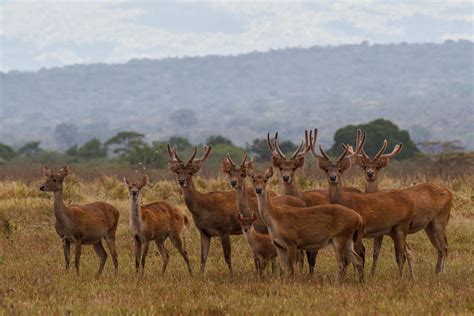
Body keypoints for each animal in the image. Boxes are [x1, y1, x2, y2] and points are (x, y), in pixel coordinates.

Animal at [167, 144, 241, 276]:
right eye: (178, 171)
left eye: (190, 172)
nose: (181, 180)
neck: (203, 208)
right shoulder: (204, 232)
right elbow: (203, 257)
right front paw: (200, 275)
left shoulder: (225, 228)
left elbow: (227, 257)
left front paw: (232, 276)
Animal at [312, 132, 416, 278]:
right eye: (326, 170)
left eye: (340, 170)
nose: (333, 177)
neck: (345, 202)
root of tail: (412, 201)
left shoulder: (360, 230)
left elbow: (356, 255)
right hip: (393, 230)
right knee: (406, 251)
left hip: (402, 225)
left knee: (402, 253)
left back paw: (402, 277)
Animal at [344, 138, 452, 274]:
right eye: (364, 166)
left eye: (378, 167)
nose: (370, 173)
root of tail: (449, 193)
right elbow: (377, 253)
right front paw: (373, 273)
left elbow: (394, 253)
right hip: (429, 226)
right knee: (439, 248)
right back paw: (436, 271)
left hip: (441, 219)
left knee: (445, 246)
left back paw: (443, 272)